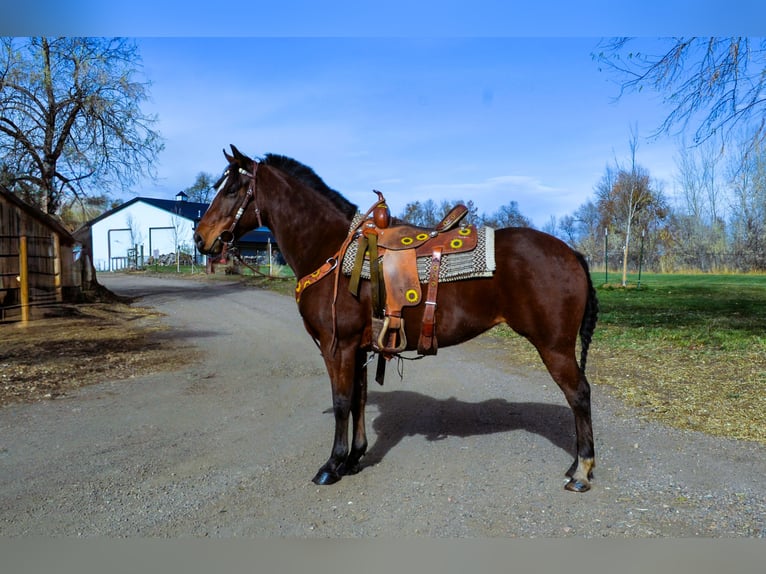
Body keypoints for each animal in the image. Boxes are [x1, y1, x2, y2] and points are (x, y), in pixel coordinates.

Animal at [196, 146, 600, 492]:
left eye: (233, 189)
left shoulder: (337, 347)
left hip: (554, 347)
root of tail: (571, 252)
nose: (201, 239)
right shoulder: (359, 348)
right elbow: (358, 399)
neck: (331, 251)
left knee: (579, 394)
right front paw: (354, 458)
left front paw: (332, 465)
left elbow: (341, 402)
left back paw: (581, 471)